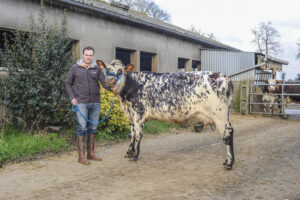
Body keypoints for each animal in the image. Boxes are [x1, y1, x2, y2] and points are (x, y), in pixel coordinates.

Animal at [97, 59, 236, 169]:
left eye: (120, 71)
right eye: (107, 70)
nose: (110, 80)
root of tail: (225, 77)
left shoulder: (139, 114)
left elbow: (137, 135)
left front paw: (134, 156)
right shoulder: (131, 116)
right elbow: (131, 134)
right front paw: (129, 153)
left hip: (219, 115)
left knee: (227, 134)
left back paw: (229, 163)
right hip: (225, 115)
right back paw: (228, 161)